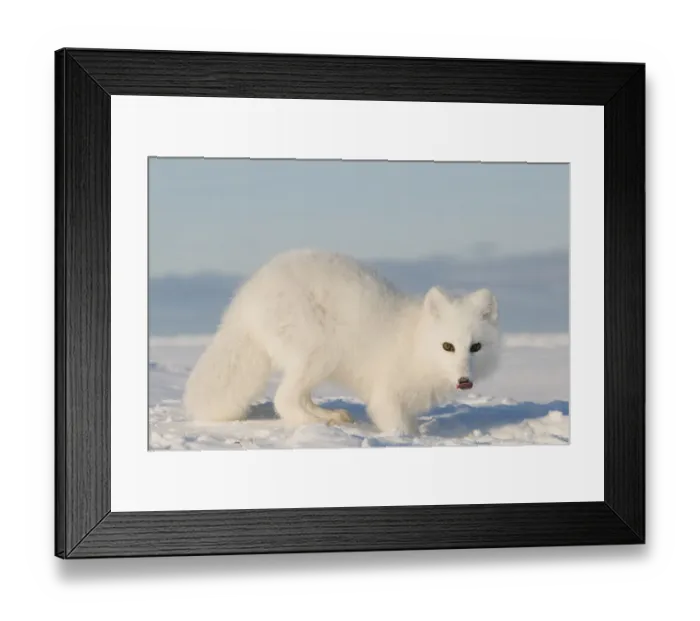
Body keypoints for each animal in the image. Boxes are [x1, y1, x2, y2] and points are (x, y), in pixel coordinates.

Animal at [183, 249, 501, 435]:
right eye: (448, 346)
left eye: (475, 347)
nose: (464, 381)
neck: (416, 344)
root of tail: (245, 298)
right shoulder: (385, 395)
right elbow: (397, 426)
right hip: (320, 351)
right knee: (284, 399)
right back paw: (319, 423)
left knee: (299, 397)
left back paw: (333, 415)